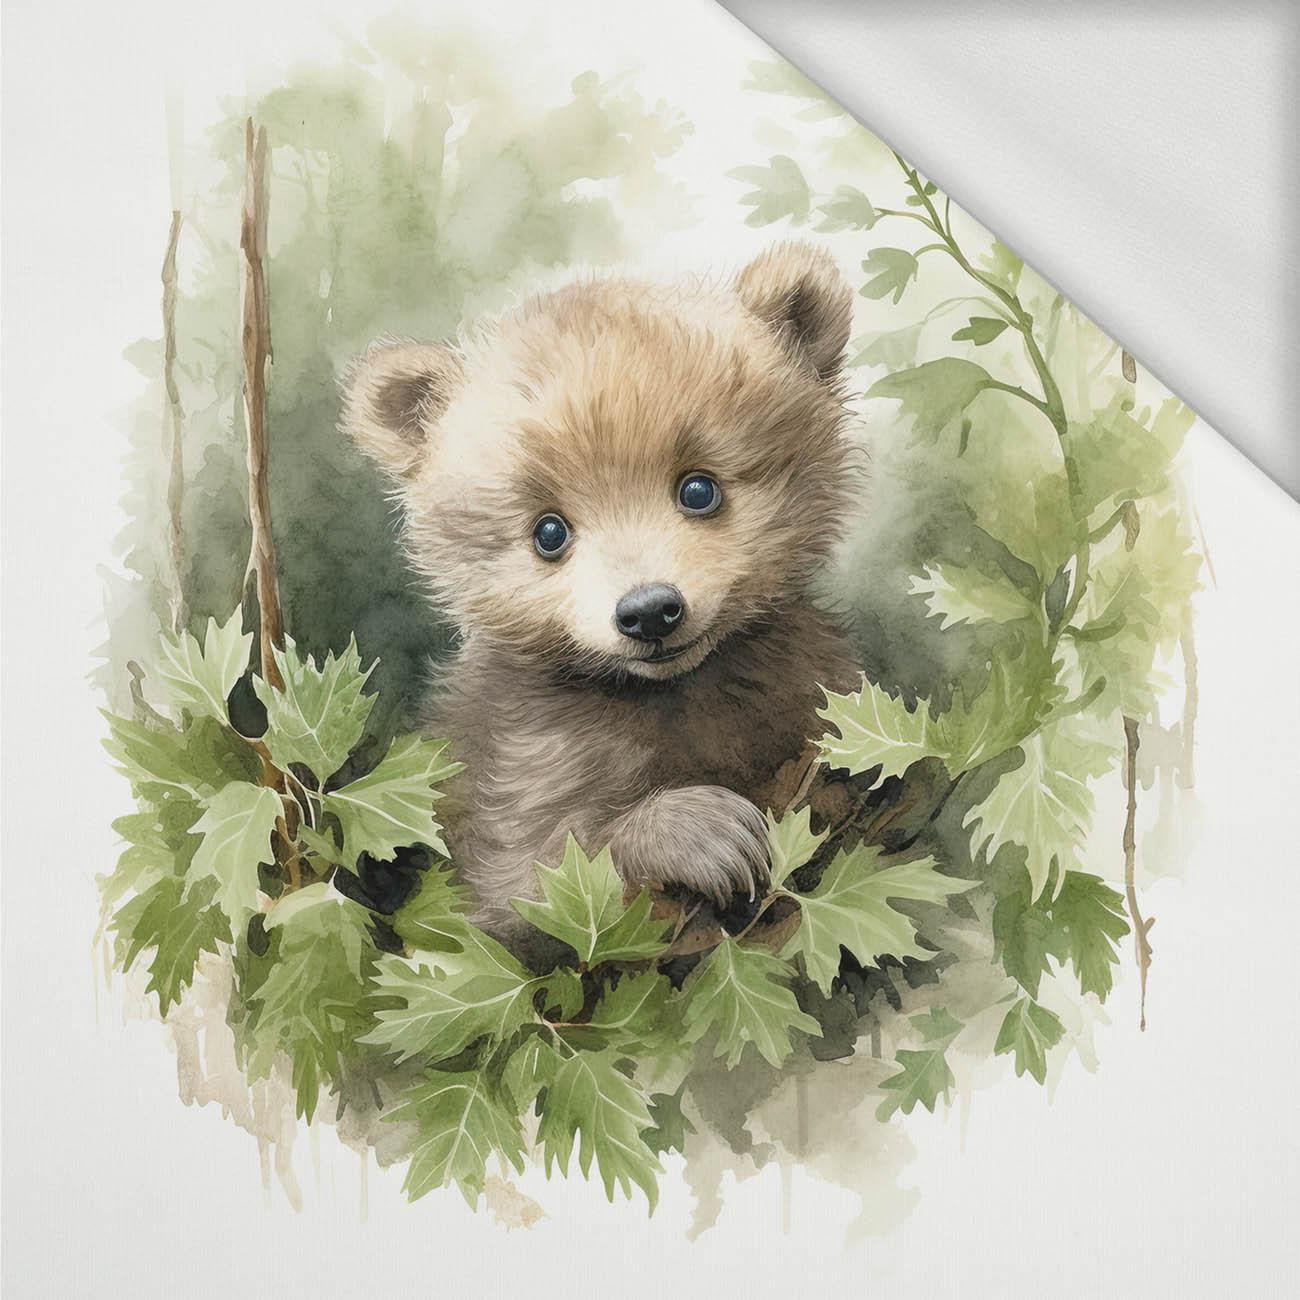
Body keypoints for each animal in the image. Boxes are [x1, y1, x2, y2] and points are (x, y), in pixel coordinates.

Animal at [342, 241, 862, 933]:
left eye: (699, 488)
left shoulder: (805, 690)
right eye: (549, 531)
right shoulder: (517, 768)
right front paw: (702, 832)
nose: (650, 611)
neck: (673, 696)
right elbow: (537, 881)